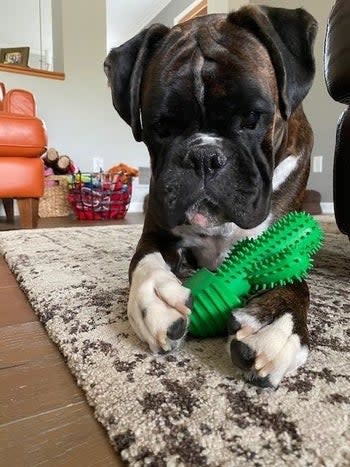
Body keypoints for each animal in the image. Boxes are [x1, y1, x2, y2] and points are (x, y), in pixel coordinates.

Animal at [104, 5, 318, 390]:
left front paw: (276, 321)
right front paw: (155, 296)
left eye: (252, 118)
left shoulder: (285, 237)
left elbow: (295, 280)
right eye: (160, 126)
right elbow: (144, 261)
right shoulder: (158, 232)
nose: (204, 156)